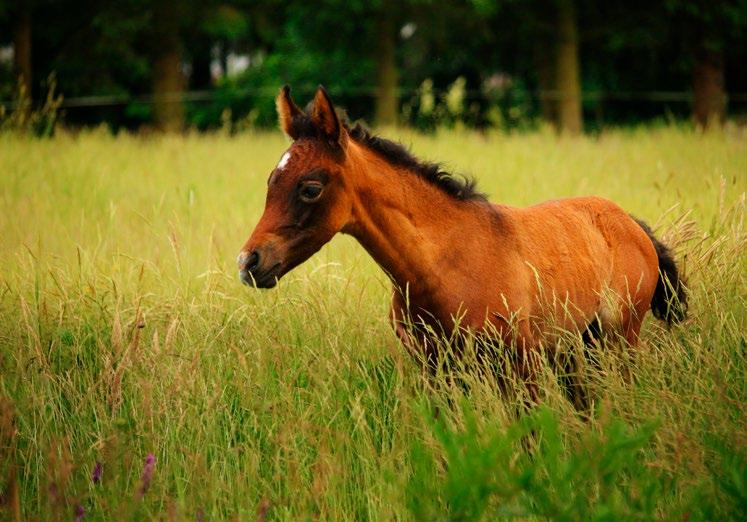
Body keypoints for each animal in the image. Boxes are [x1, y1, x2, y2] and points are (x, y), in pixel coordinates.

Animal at [237, 84, 688, 402]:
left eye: (310, 188)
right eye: (271, 181)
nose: (249, 262)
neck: (441, 264)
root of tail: (632, 224)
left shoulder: (518, 364)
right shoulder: (438, 371)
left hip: (618, 342)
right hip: (577, 351)